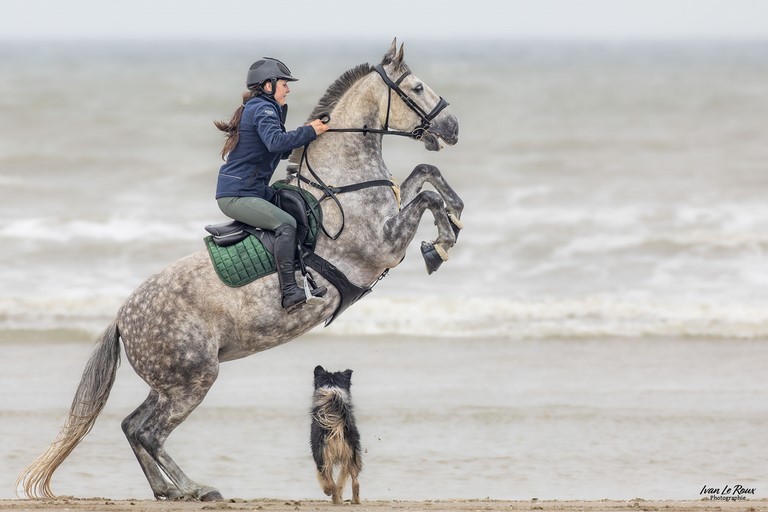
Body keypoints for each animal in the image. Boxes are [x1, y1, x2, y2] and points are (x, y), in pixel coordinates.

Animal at [17, 39, 464, 502]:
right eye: (417, 87)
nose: (452, 128)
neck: (340, 184)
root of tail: (123, 319)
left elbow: (425, 175)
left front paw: (455, 217)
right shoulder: (384, 244)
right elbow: (426, 196)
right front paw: (441, 243)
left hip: (170, 384)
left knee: (132, 426)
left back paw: (167, 490)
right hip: (193, 380)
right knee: (150, 433)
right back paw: (195, 488)